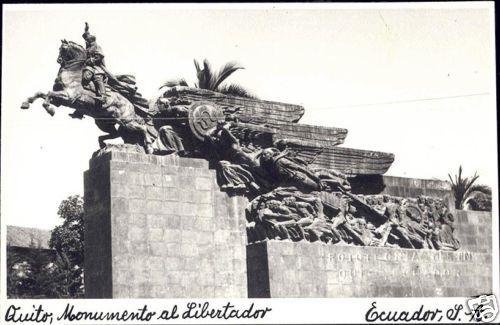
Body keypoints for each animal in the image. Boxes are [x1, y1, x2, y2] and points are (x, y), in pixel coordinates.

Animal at [21, 39, 153, 153]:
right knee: (116, 133)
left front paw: (50, 110)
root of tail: (130, 105)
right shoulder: (59, 100)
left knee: (142, 128)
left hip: (125, 120)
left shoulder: (69, 97)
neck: (72, 73)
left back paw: (149, 147)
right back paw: (103, 146)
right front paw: (26, 103)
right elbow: (40, 93)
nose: (59, 60)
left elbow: (48, 94)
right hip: (104, 123)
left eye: (63, 48)